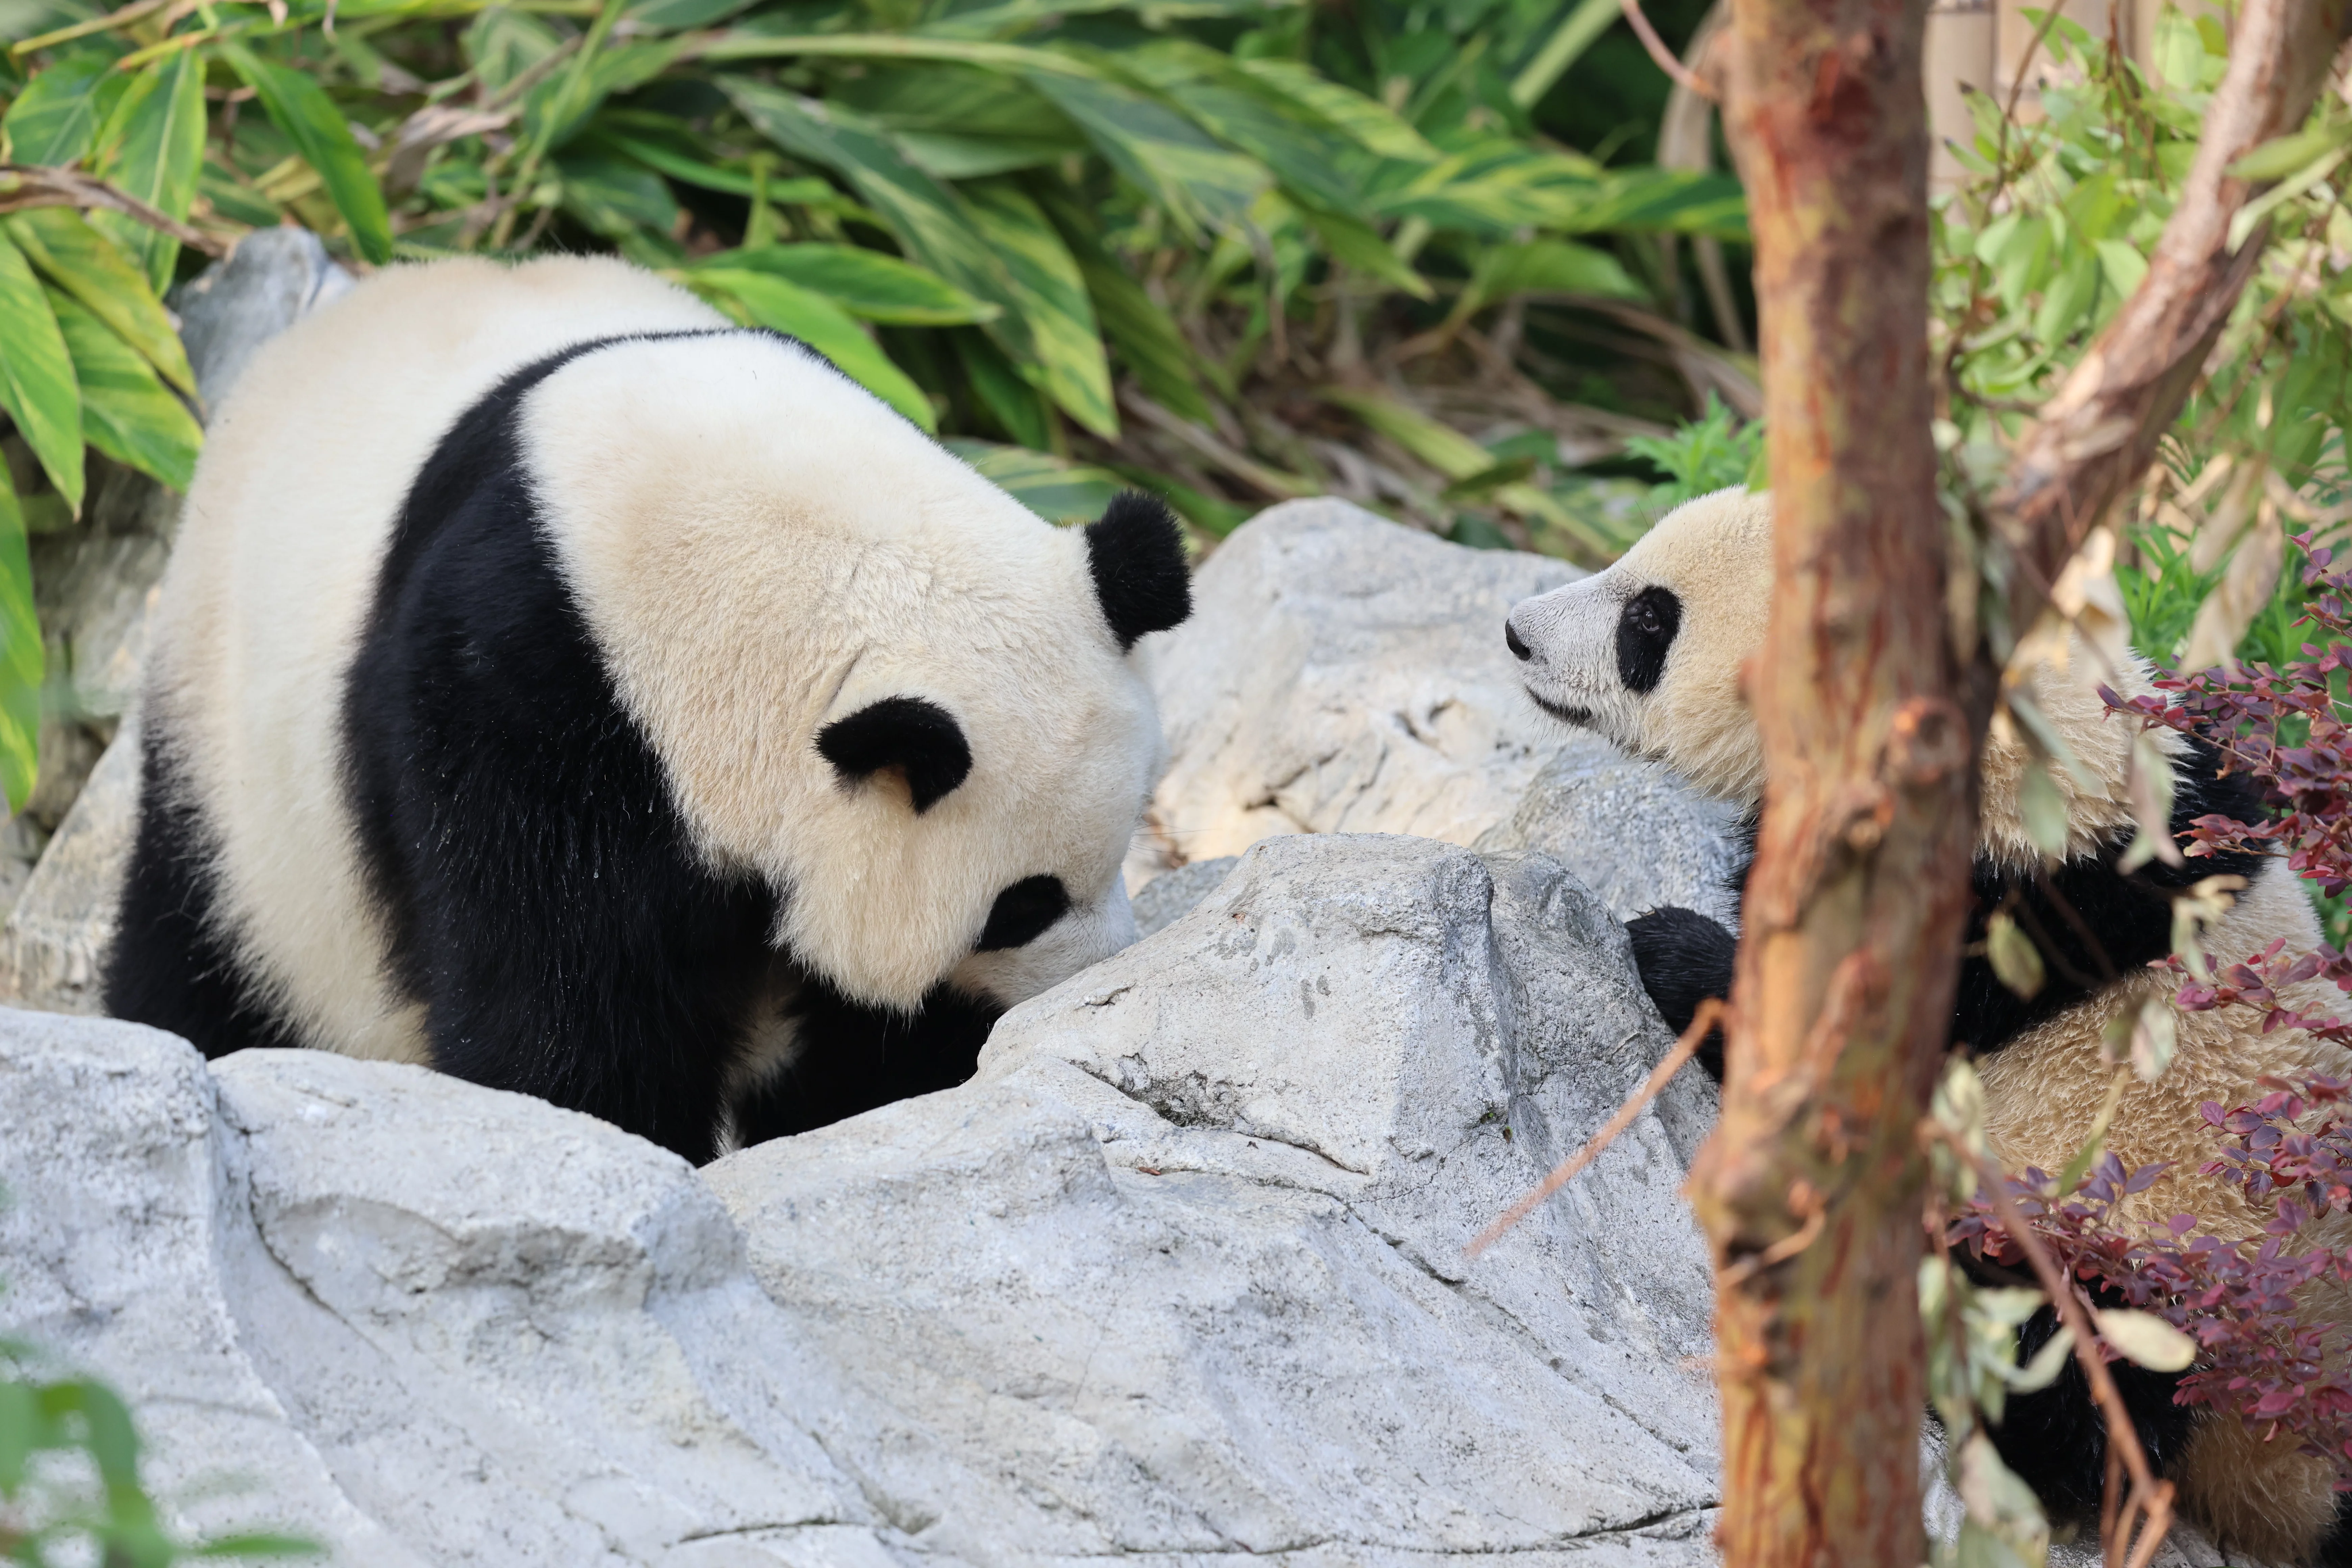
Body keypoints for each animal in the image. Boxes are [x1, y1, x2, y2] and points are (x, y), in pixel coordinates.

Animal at [104, 255, 1190, 1166]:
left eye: (1128, 837)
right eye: (1021, 904)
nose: (1089, 980)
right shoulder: (529, 697)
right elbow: (561, 992)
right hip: (244, 779)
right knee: (202, 957)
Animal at [1505, 487, 2352, 1565]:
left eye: (1650, 621)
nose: (1517, 633)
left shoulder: (1979, 915)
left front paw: (1671, 945)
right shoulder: (2202, 793)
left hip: (2142, 1257)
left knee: (2074, 1384)